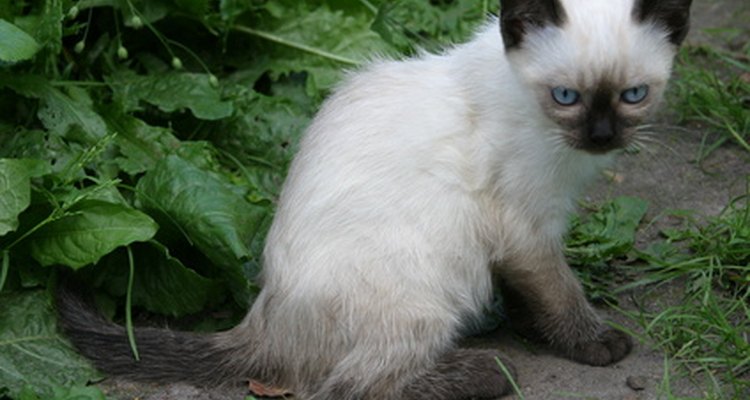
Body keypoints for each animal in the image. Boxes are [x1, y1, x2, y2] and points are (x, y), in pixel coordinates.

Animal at [57, 0, 692, 398]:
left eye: (634, 95)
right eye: (566, 96)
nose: (602, 137)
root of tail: (265, 321)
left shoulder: (523, 235)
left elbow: (529, 294)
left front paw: (532, 329)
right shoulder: (524, 226)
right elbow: (560, 293)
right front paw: (594, 343)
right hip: (426, 294)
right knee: (352, 386)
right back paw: (487, 372)